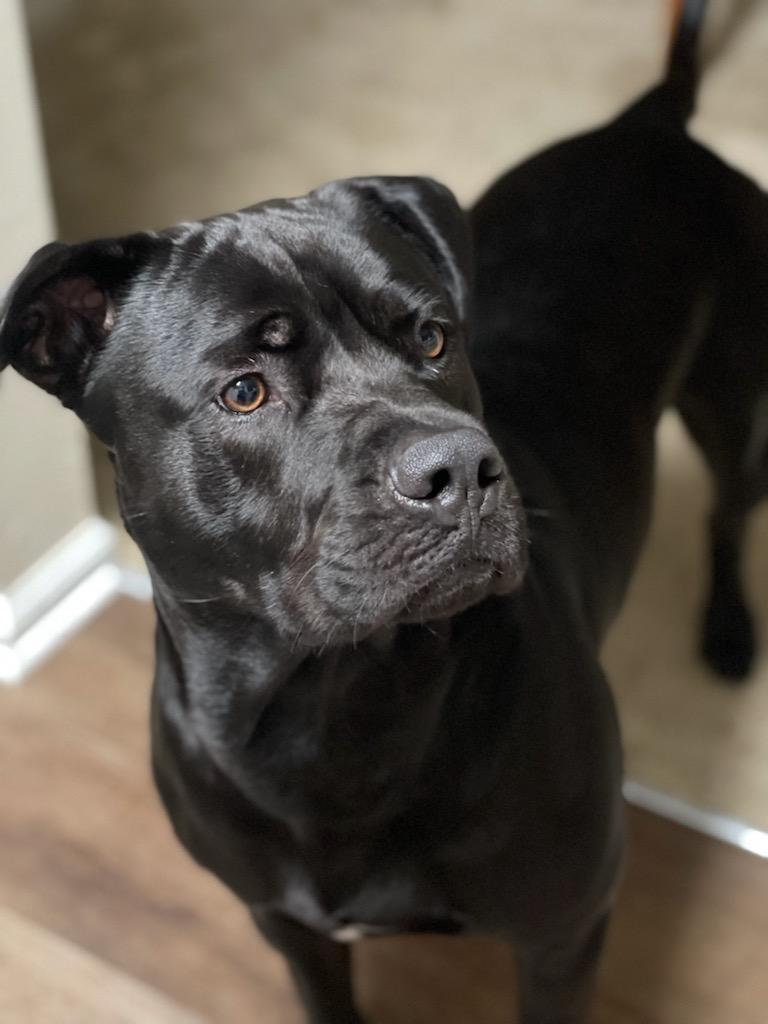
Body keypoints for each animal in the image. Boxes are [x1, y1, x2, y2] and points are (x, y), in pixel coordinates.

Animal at [3, 4, 765, 1019]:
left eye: (435, 337)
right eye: (244, 391)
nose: (461, 468)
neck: (329, 708)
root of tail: (651, 125)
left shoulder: (564, 934)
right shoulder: (285, 926)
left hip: (736, 404)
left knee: (728, 516)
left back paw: (727, 630)